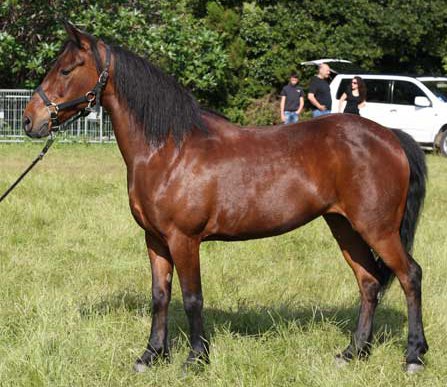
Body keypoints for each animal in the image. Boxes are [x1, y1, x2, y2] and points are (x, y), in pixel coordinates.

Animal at [22, 22, 428, 374]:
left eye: (66, 70)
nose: (29, 120)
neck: (169, 150)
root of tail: (390, 136)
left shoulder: (184, 240)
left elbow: (192, 298)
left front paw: (195, 360)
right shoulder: (155, 239)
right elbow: (160, 296)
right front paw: (151, 355)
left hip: (377, 229)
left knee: (409, 275)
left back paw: (413, 356)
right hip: (344, 226)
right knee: (369, 281)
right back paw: (354, 352)